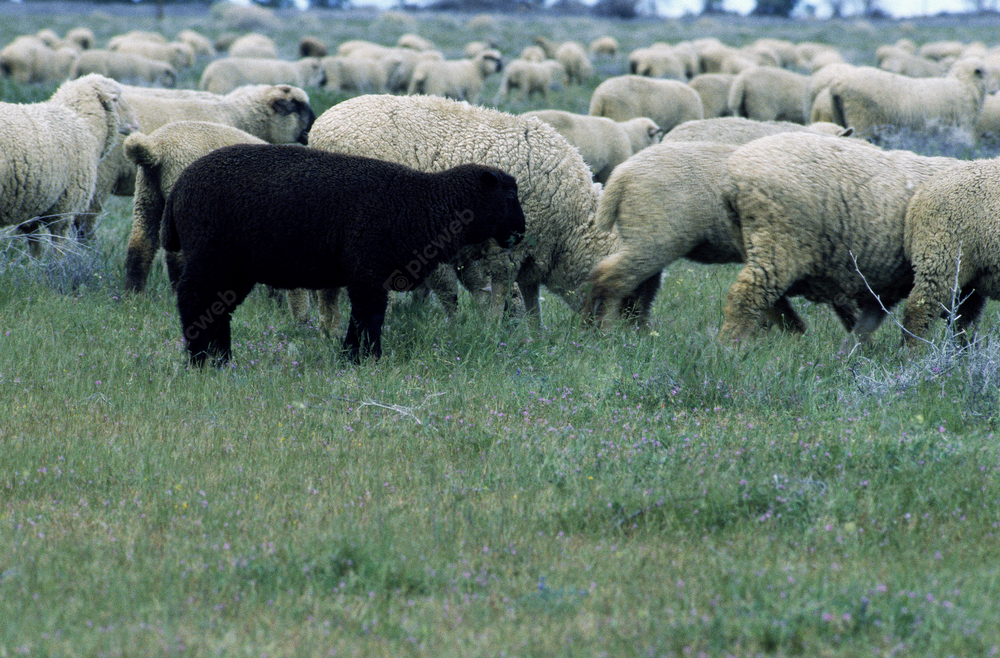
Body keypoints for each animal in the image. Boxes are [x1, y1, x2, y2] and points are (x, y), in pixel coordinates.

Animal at [160, 143, 528, 364]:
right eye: (509, 195)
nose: (521, 232)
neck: (423, 205)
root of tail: (179, 188)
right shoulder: (368, 270)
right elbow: (369, 315)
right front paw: (365, 358)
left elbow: (363, 316)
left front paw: (351, 357)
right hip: (212, 255)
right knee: (193, 297)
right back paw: (198, 359)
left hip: (234, 266)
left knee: (217, 306)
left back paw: (221, 358)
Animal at [720, 131, 960, 340]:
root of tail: (734, 178)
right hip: (779, 243)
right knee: (747, 295)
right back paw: (730, 346)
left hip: (757, 243)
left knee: (774, 303)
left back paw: (799, 336)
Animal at [824, 57, 996, 138]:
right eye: (986, 73)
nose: (995, 90)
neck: (964, 85)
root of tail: (838, 84)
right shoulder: (957, 129)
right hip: (861, 121)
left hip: (840, 117)